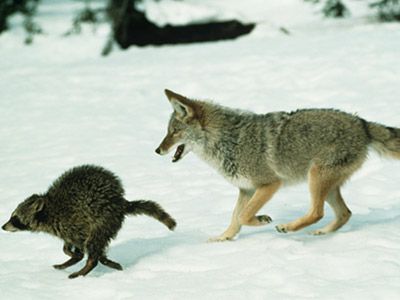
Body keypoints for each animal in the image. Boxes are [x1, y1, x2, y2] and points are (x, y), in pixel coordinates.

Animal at [1, 165, 177, 278]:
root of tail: (120, 202)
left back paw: (86, 267)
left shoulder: (73, 222)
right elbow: (68, 245)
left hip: (103, 218)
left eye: (15, 218)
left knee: (94, 243)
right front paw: (71, 254)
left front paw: (76, 255)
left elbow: (80, 244)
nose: (3, 226)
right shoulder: (65, 230)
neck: (48, 210)